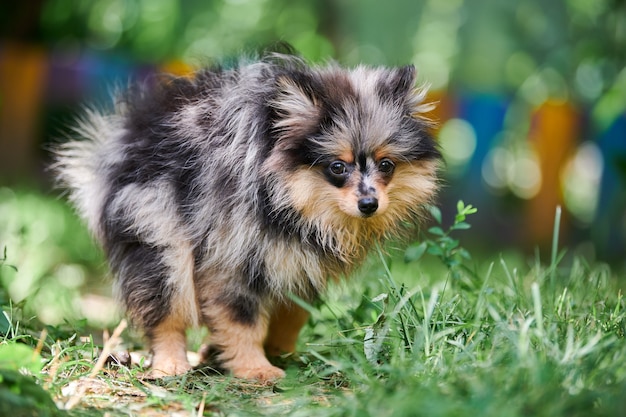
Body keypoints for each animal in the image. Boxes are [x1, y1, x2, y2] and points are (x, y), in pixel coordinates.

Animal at [54, 49, 438, 380]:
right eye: (337, 167)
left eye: (386, 165)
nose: (369, 204)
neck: (288, 203)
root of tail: (122, 143)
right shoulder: (232, 256)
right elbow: (242, 319)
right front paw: (256, 369)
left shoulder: (297, 261)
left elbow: (292, 313)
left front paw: (283, 353)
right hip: (160, 236)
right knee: (167, 308)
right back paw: (170, 364)